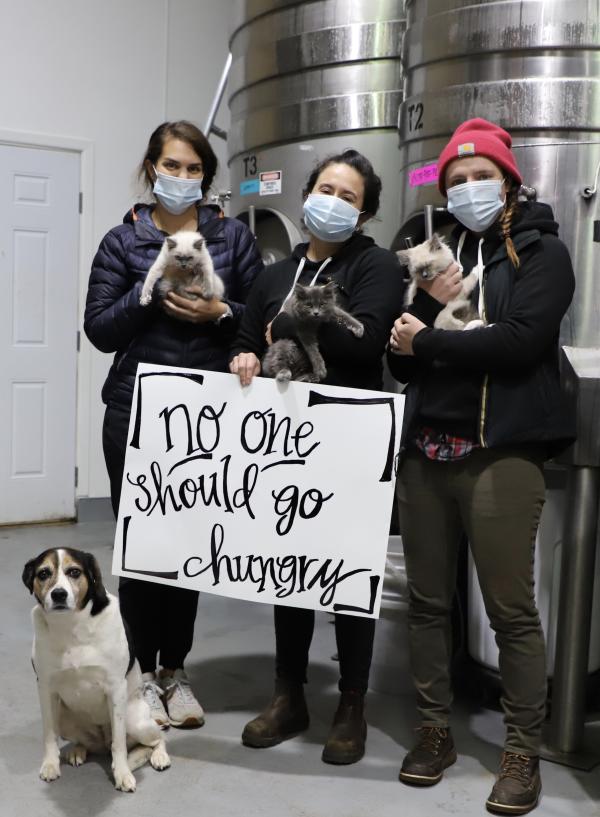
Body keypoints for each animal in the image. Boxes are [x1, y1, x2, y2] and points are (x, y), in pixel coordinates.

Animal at [22, 548, 170, 792]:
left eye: (74, 572)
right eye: (43, 574)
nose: (59, 594)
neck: (70, 626)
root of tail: (102, 741)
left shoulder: (115, 687)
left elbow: (119, 744)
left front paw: (122, 774)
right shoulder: (45, 688)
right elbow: (49, 735)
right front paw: (51, 765)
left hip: (134, 719)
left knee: (155, 740)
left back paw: (158, 757)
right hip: (63, 716)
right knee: (87, 742)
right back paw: (77, 751)